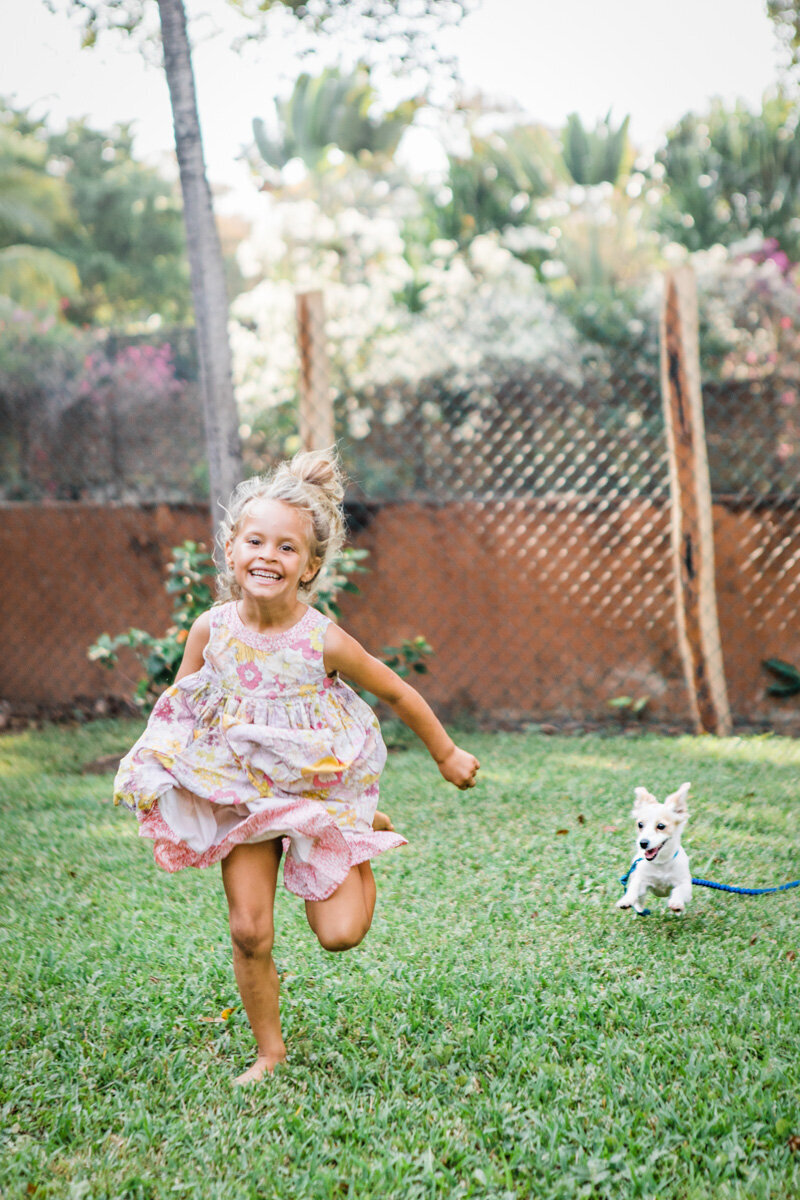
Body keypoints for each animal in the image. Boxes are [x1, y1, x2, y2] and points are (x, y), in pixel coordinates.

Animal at [618, 782, 690, 912]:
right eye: (640, 824)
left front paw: (676, 903)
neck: (660, 864)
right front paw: (626, 899)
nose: (643, 843)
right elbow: (634, 888)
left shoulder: (685, 884)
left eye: (661, 826)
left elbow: (680, 890)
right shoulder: (642, 882)